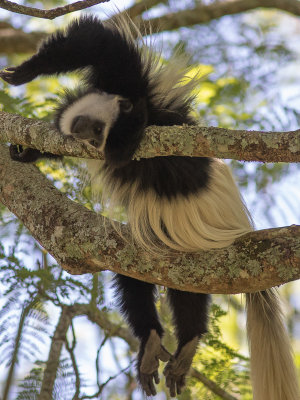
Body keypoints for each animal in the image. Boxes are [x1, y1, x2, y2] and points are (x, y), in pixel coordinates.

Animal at [1, 14, 298, 398]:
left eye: (93, 128)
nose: (93, 140)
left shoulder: (133, 86)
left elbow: (101, 43)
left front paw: (25, 71)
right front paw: (27, 153)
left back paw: (184, 344)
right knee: (152, 280)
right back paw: (161, 344)